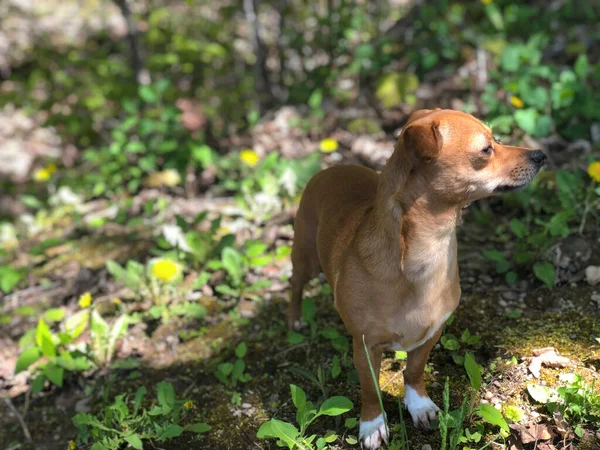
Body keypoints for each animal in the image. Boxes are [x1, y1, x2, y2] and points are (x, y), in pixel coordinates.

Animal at [288, 110, 548, 450]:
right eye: (486, 149)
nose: (540, 154)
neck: (429, 250)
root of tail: (334, 167)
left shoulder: (432, 333)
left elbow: (414, 370)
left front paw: (419, 405)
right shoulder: (365, 348)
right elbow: (370, 389)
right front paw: (372, 424)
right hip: (304, 256)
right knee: (295, 284)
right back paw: (294, 320)